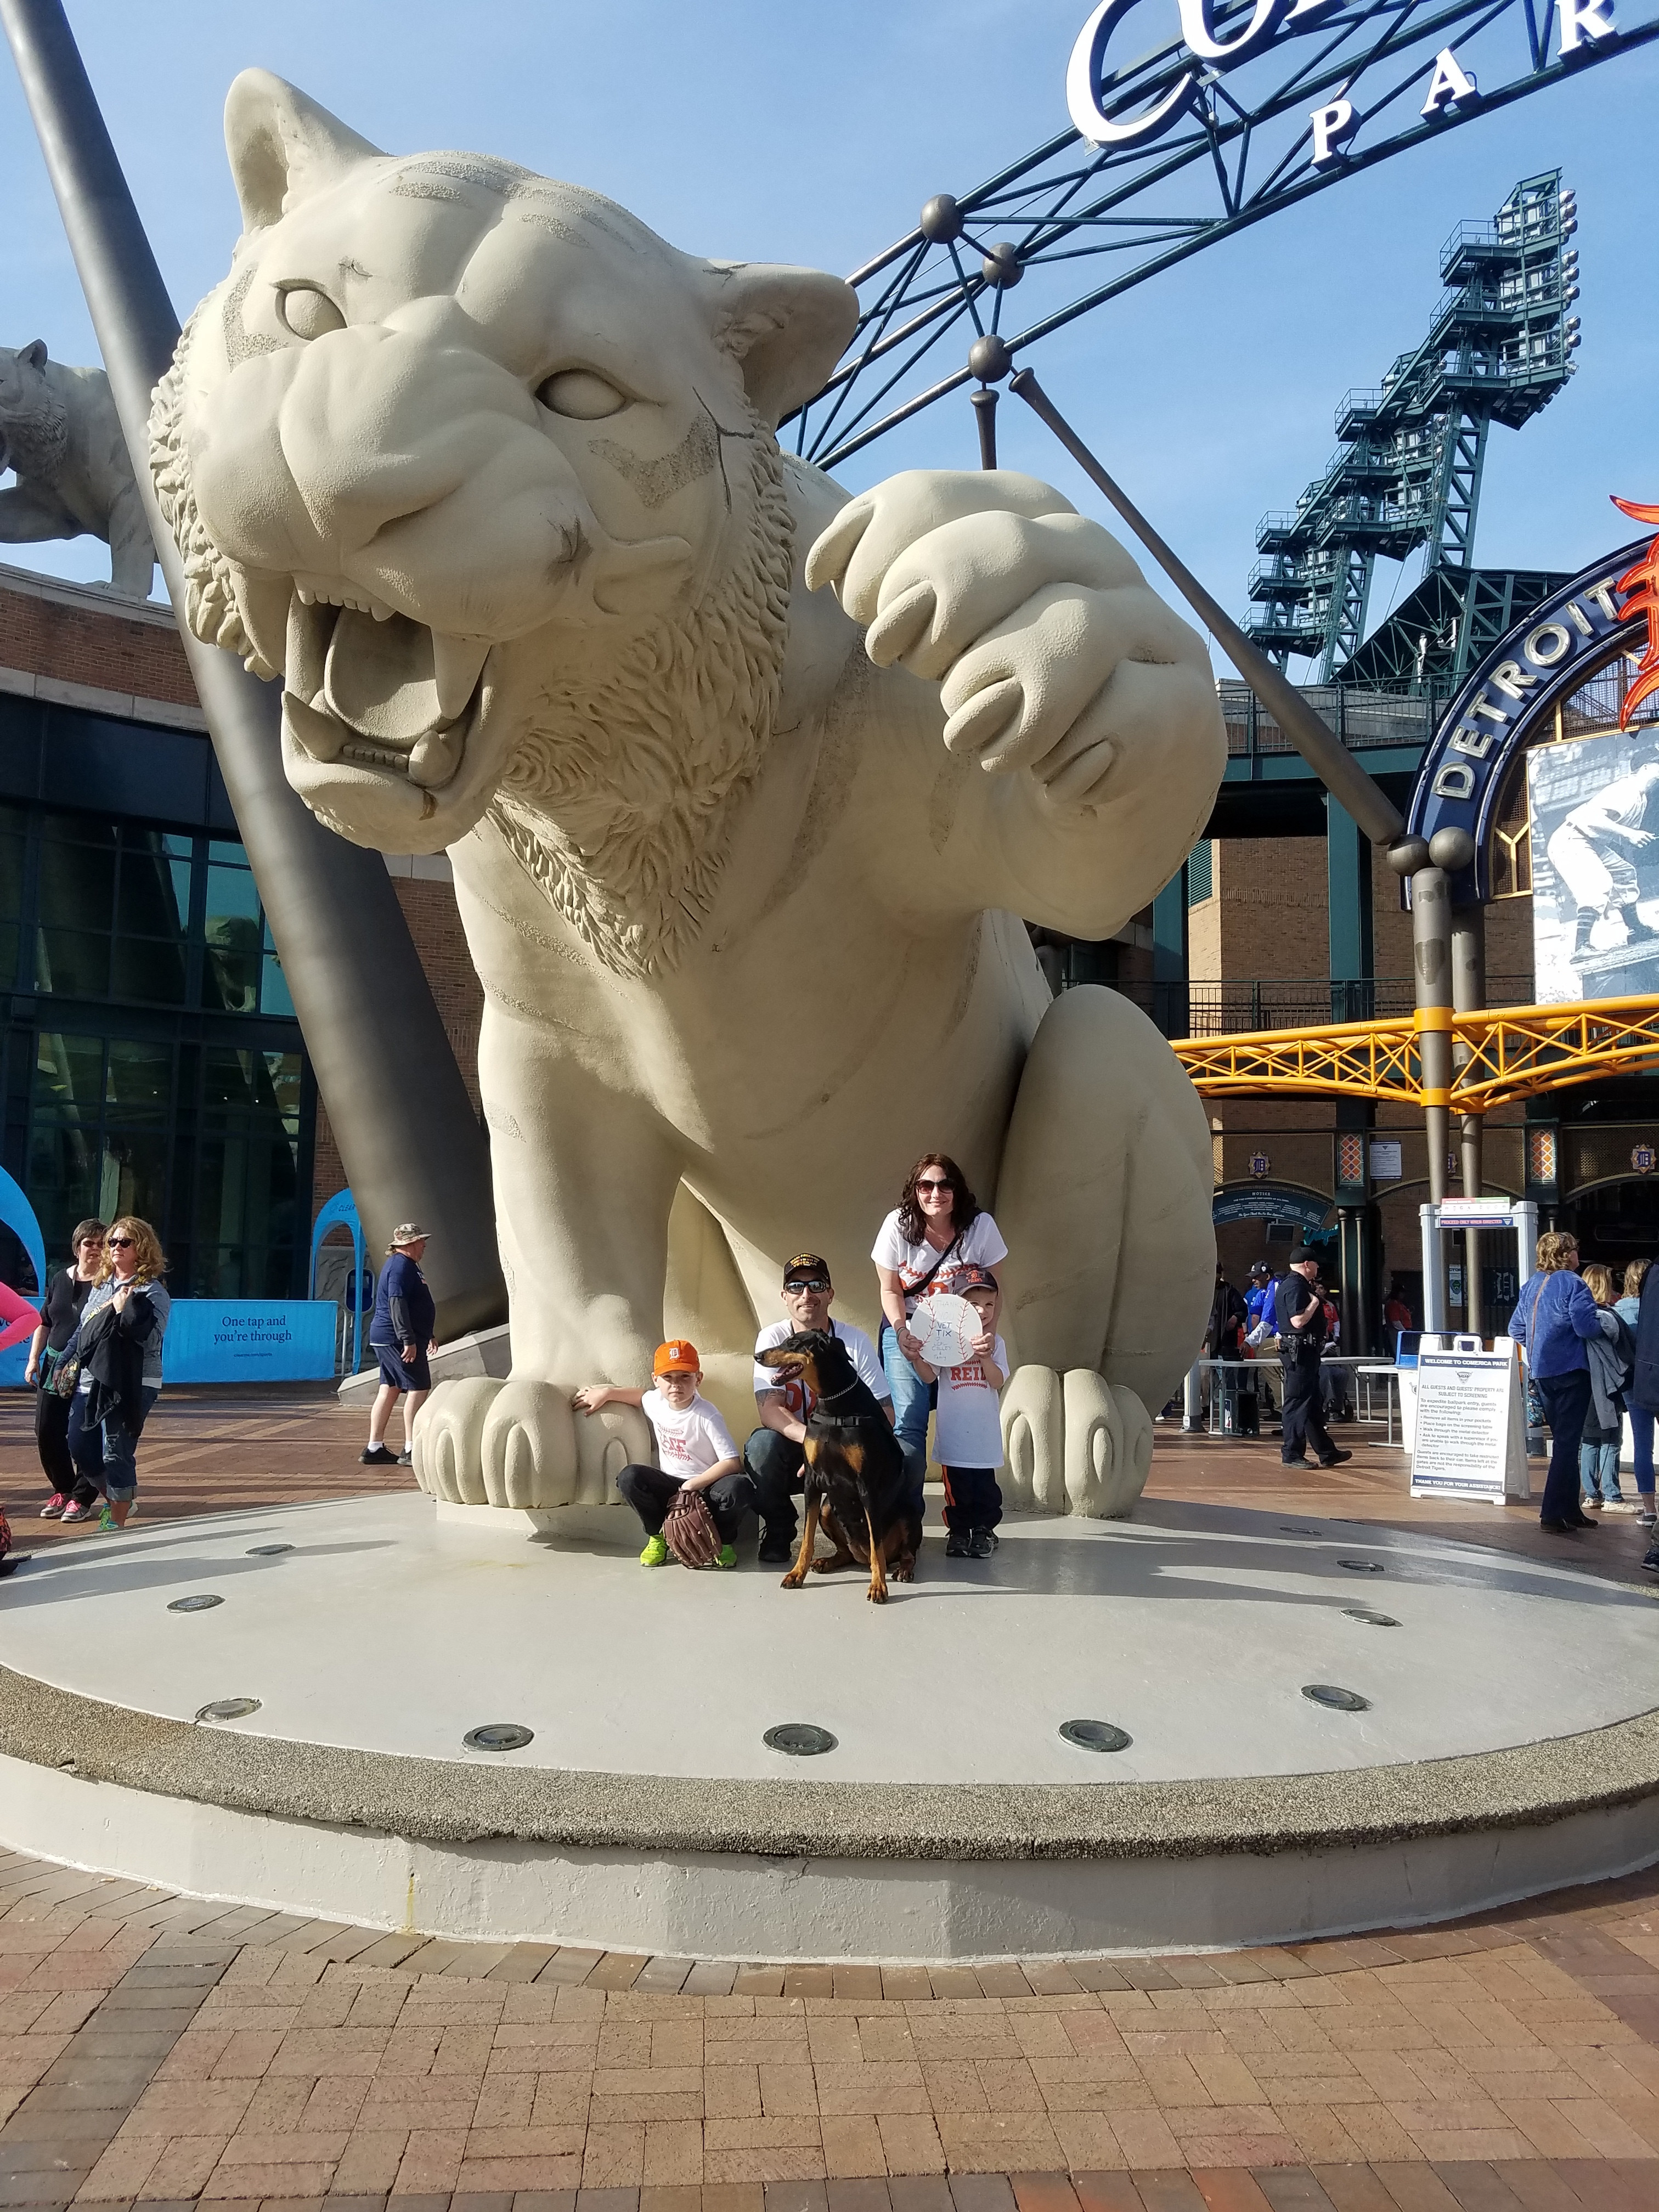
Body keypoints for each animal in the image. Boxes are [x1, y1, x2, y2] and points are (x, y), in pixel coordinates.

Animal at [765, 1318, 924, 1601]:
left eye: (793, 1343)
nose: (758, 1355)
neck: (832, 1403)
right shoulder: (812, 1481)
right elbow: (806, 1539)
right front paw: (796, 1574)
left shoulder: (867, 1486)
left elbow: (876, 1547)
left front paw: (878, 1586)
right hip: (828, 1508)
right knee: (847, 1552)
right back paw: (827, 1561)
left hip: (909, 1512)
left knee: (901, 1553)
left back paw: (903, 1570)